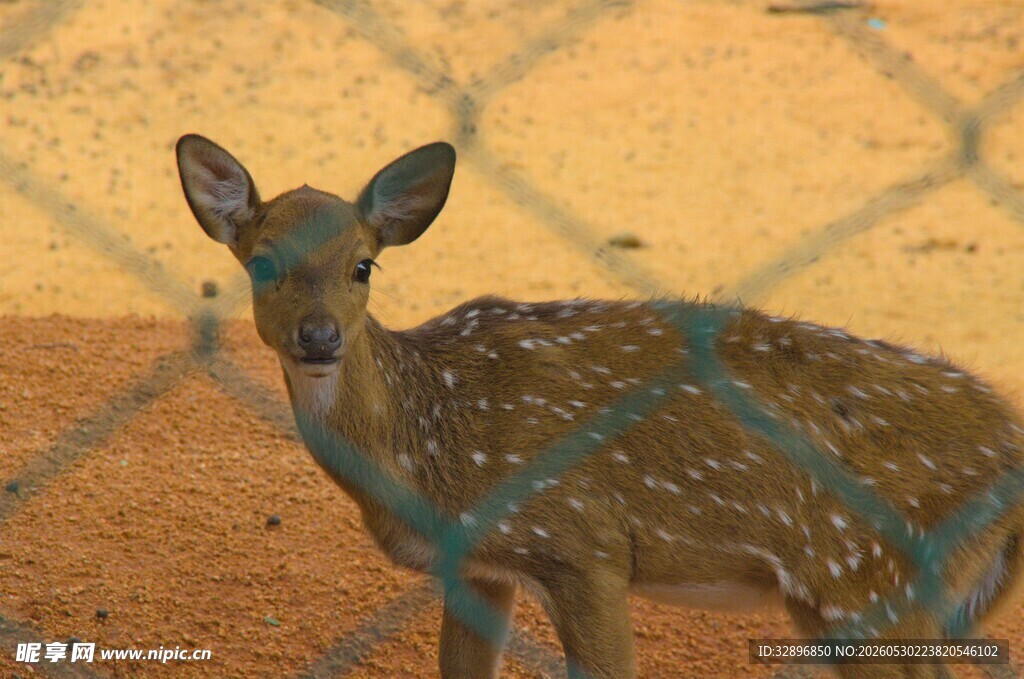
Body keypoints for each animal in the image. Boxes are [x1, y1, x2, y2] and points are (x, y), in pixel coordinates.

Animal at [176, 133, 1024, 679]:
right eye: (261, 263)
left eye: (363, 265)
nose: (318, 336)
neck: (431, 448)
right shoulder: (480, 566)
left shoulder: (583, 544)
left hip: (874, 579)